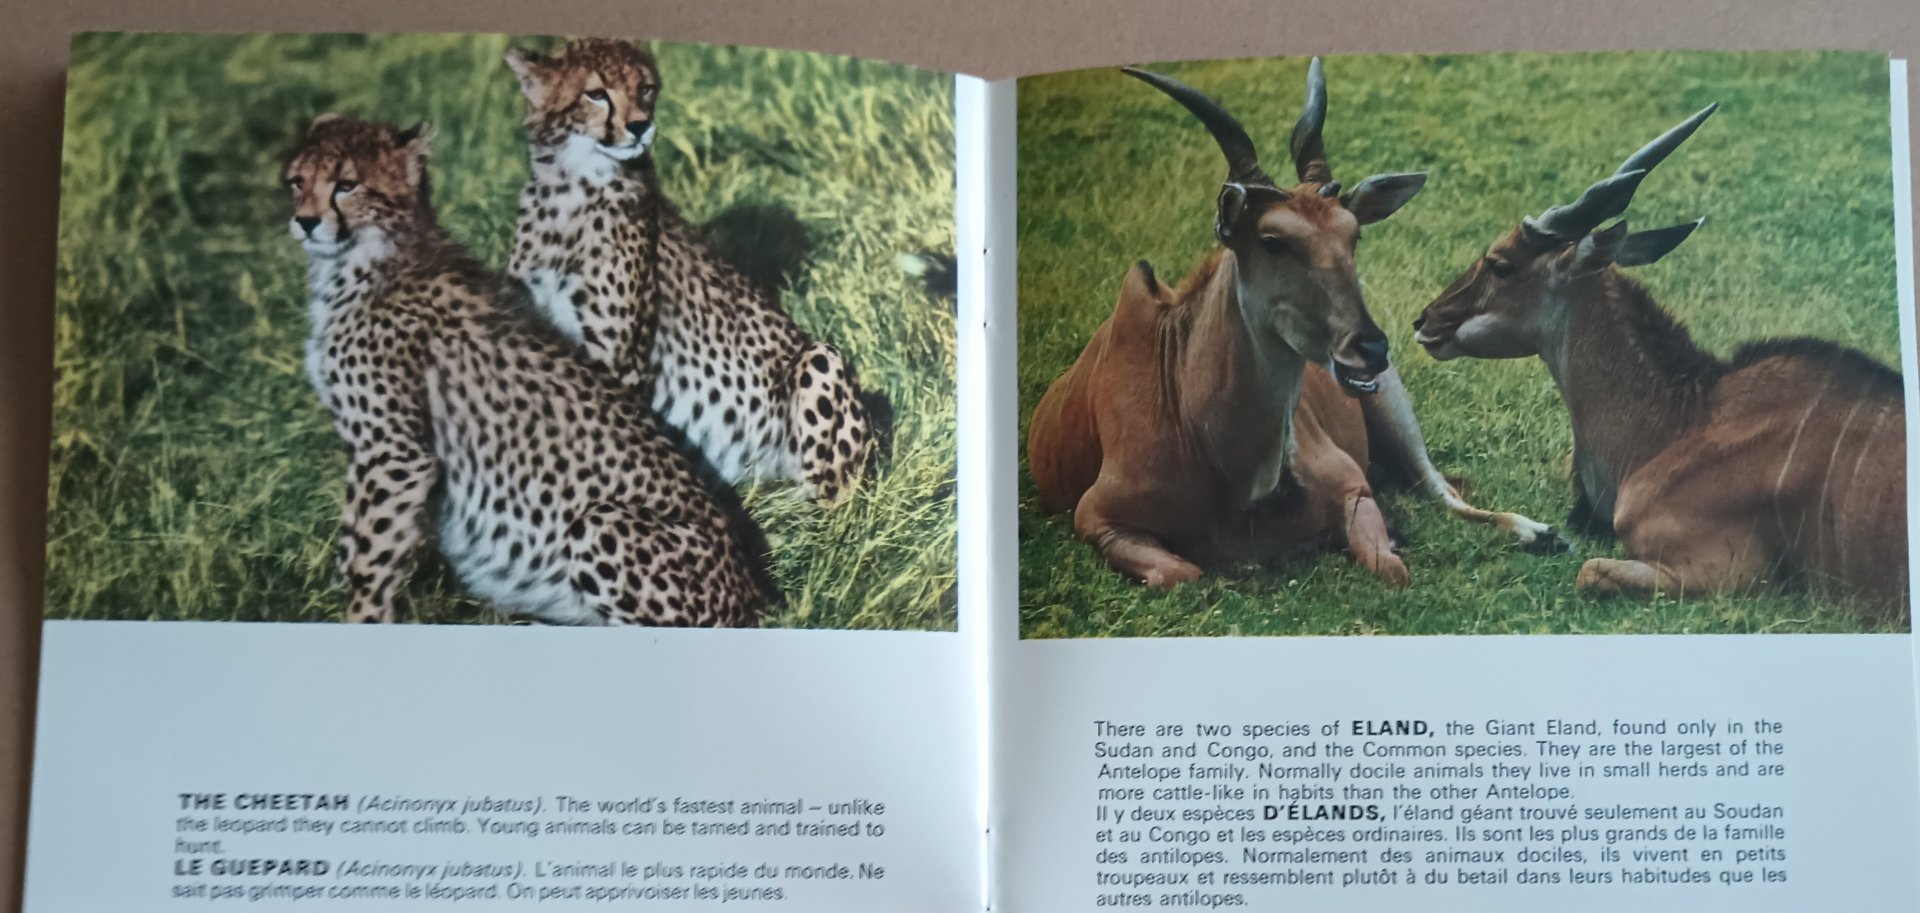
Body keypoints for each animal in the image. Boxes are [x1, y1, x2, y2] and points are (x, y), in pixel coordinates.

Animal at [284, 113, 765, 626]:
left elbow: (371, 555)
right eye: (297, 182)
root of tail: (751, 592)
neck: (367, 259)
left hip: (599, 522)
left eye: (347, 185)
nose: (305, 221)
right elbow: (353, 538)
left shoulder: (396, 451)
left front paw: (361, 618)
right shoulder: (371, 447)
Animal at [504, 37, 884, 505]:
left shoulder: (618, 359)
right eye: (596, 94)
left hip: (821, 361)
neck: (568, 191)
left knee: (837, 498)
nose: (640, 127)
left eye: (645, 89)